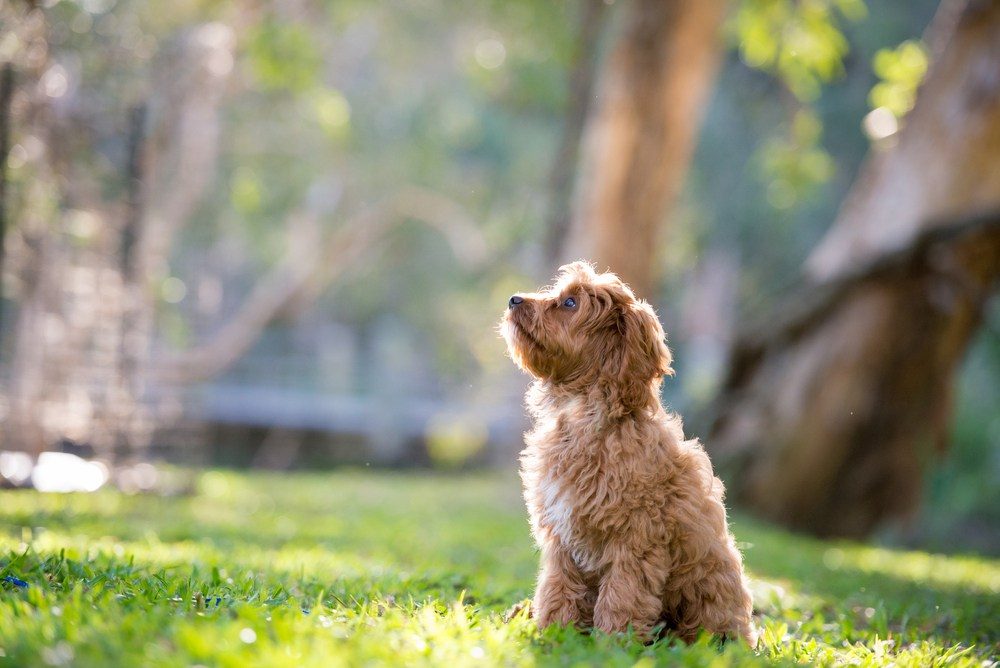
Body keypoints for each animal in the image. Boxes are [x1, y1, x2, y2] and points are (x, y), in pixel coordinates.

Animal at [500, 262, 756, 648]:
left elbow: (623, 593)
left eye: (570, 302)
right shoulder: (562, 540)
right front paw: (556, 632)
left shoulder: (635, 538)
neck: (587, 415)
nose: (514, 299)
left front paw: (612, 642)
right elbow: (558, 586)